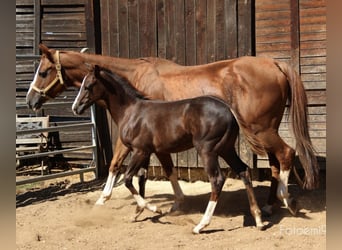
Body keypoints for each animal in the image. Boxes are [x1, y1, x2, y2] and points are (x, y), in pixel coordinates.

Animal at [26, 44, 318, 216]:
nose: (30, 100)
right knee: (275, 162)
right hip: (266, 129)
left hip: (261, 130)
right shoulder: (155, 143)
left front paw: (104, 198)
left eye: (43, 71)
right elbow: (162, 170)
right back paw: (267, 206)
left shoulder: (136, 140)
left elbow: (116, 163)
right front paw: (168, 203)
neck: (135, 79)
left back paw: (285, 200)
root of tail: (275, 64)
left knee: (286, 154)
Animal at [71, 65, 264, 233]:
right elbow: (144, 177)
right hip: (226, 149)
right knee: (244, 171)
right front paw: (138, 212)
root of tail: (229, 110)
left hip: (207, 151)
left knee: (217, 179)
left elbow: (128, 179)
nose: (75, 108)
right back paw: (258, 219)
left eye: (88, 86)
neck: (131, 112)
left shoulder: (140, 151)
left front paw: (153, 208)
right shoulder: (152, 151)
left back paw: (201, 225)